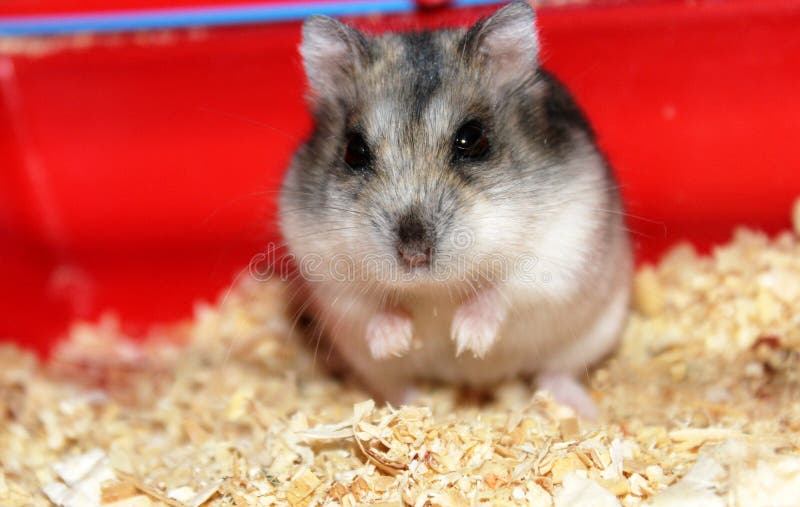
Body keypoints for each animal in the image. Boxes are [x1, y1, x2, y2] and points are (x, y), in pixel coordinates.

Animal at [279, 1, 632, 418]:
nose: (414, 254)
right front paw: (392, 341)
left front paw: (467, 339)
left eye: (473, 139)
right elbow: (372, 301)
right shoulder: (326, 271)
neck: (435, 289)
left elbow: (503, 289)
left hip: (593, 333)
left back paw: (588, 414)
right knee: (399, 387)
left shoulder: (559, 250)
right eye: (354, 150)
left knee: (554, 374)